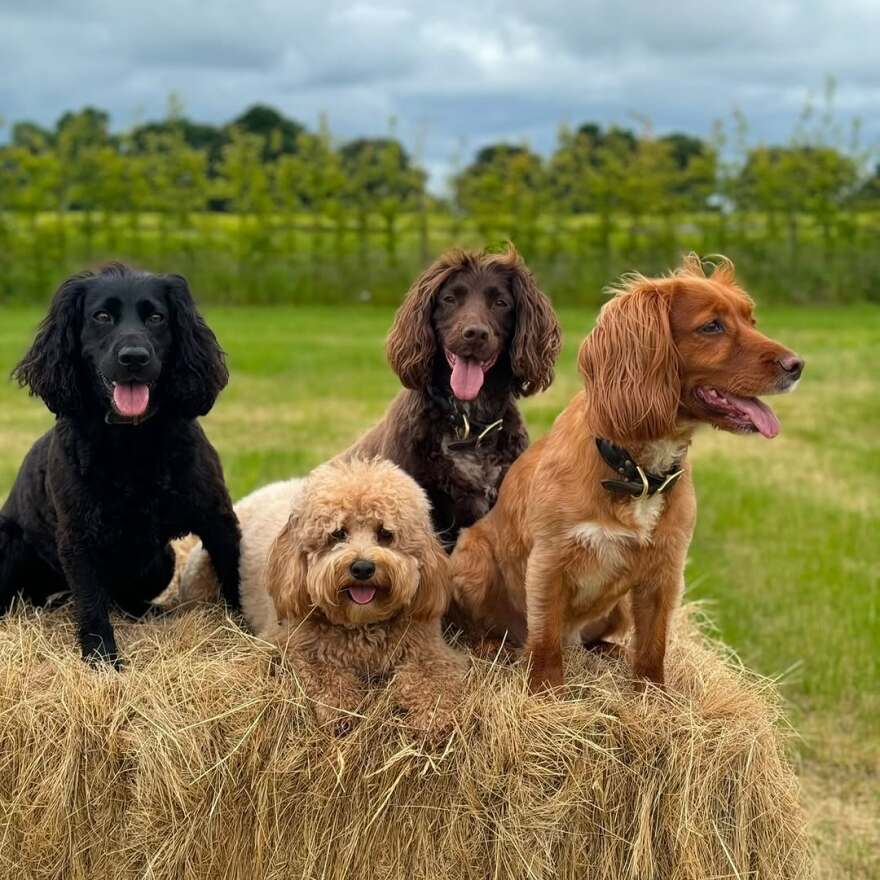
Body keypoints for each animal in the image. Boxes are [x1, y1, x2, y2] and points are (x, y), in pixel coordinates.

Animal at [0, 264, 241, 664]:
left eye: (157, 317)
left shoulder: (217, 518)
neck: (132, 443)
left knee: (126, 601)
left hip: (162, 559)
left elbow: (237, 579)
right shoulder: (78, 538)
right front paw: (102, 660)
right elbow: (92, 606)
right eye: (102, 316)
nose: (134, 357)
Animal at [180, 458, 468, 740]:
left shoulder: (428, 649)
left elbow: (433, 678)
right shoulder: (287, 645)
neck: (362, 625)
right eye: (338, 533)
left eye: (385, 534)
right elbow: (321, 671)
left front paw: (434, 715)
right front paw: (341, 710)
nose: (362, 568)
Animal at [454, 254, 804, 696]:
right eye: (712, 326)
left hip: (617, 608)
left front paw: (654, 697)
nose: (797, 365)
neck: (637, 470)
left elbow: (654, 645)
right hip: (473, 560)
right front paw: (546, 695)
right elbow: (546, 641)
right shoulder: (549, 562)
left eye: (751, 319)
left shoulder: (664, 572)